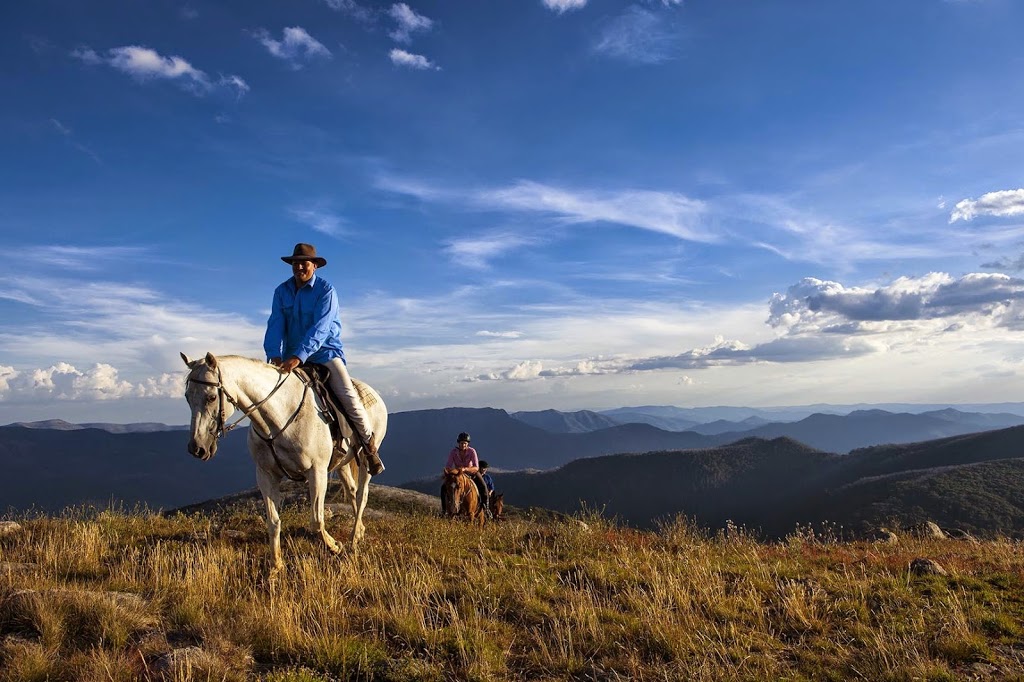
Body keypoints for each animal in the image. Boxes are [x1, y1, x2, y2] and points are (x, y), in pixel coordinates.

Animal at [180, 352, 387, 565]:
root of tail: (374, 394)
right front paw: (276, 565)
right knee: (352, 491)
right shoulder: (266, 474)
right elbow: (273, 521)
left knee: (362, 494)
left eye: (212, 397)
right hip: (342, 463)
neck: (278, 417)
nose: (197, 448)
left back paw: (354, 539)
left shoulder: (317, 472)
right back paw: (359, 531)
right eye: (187, 397)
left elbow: (316, 521)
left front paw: (335, 546)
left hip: (364, 458)